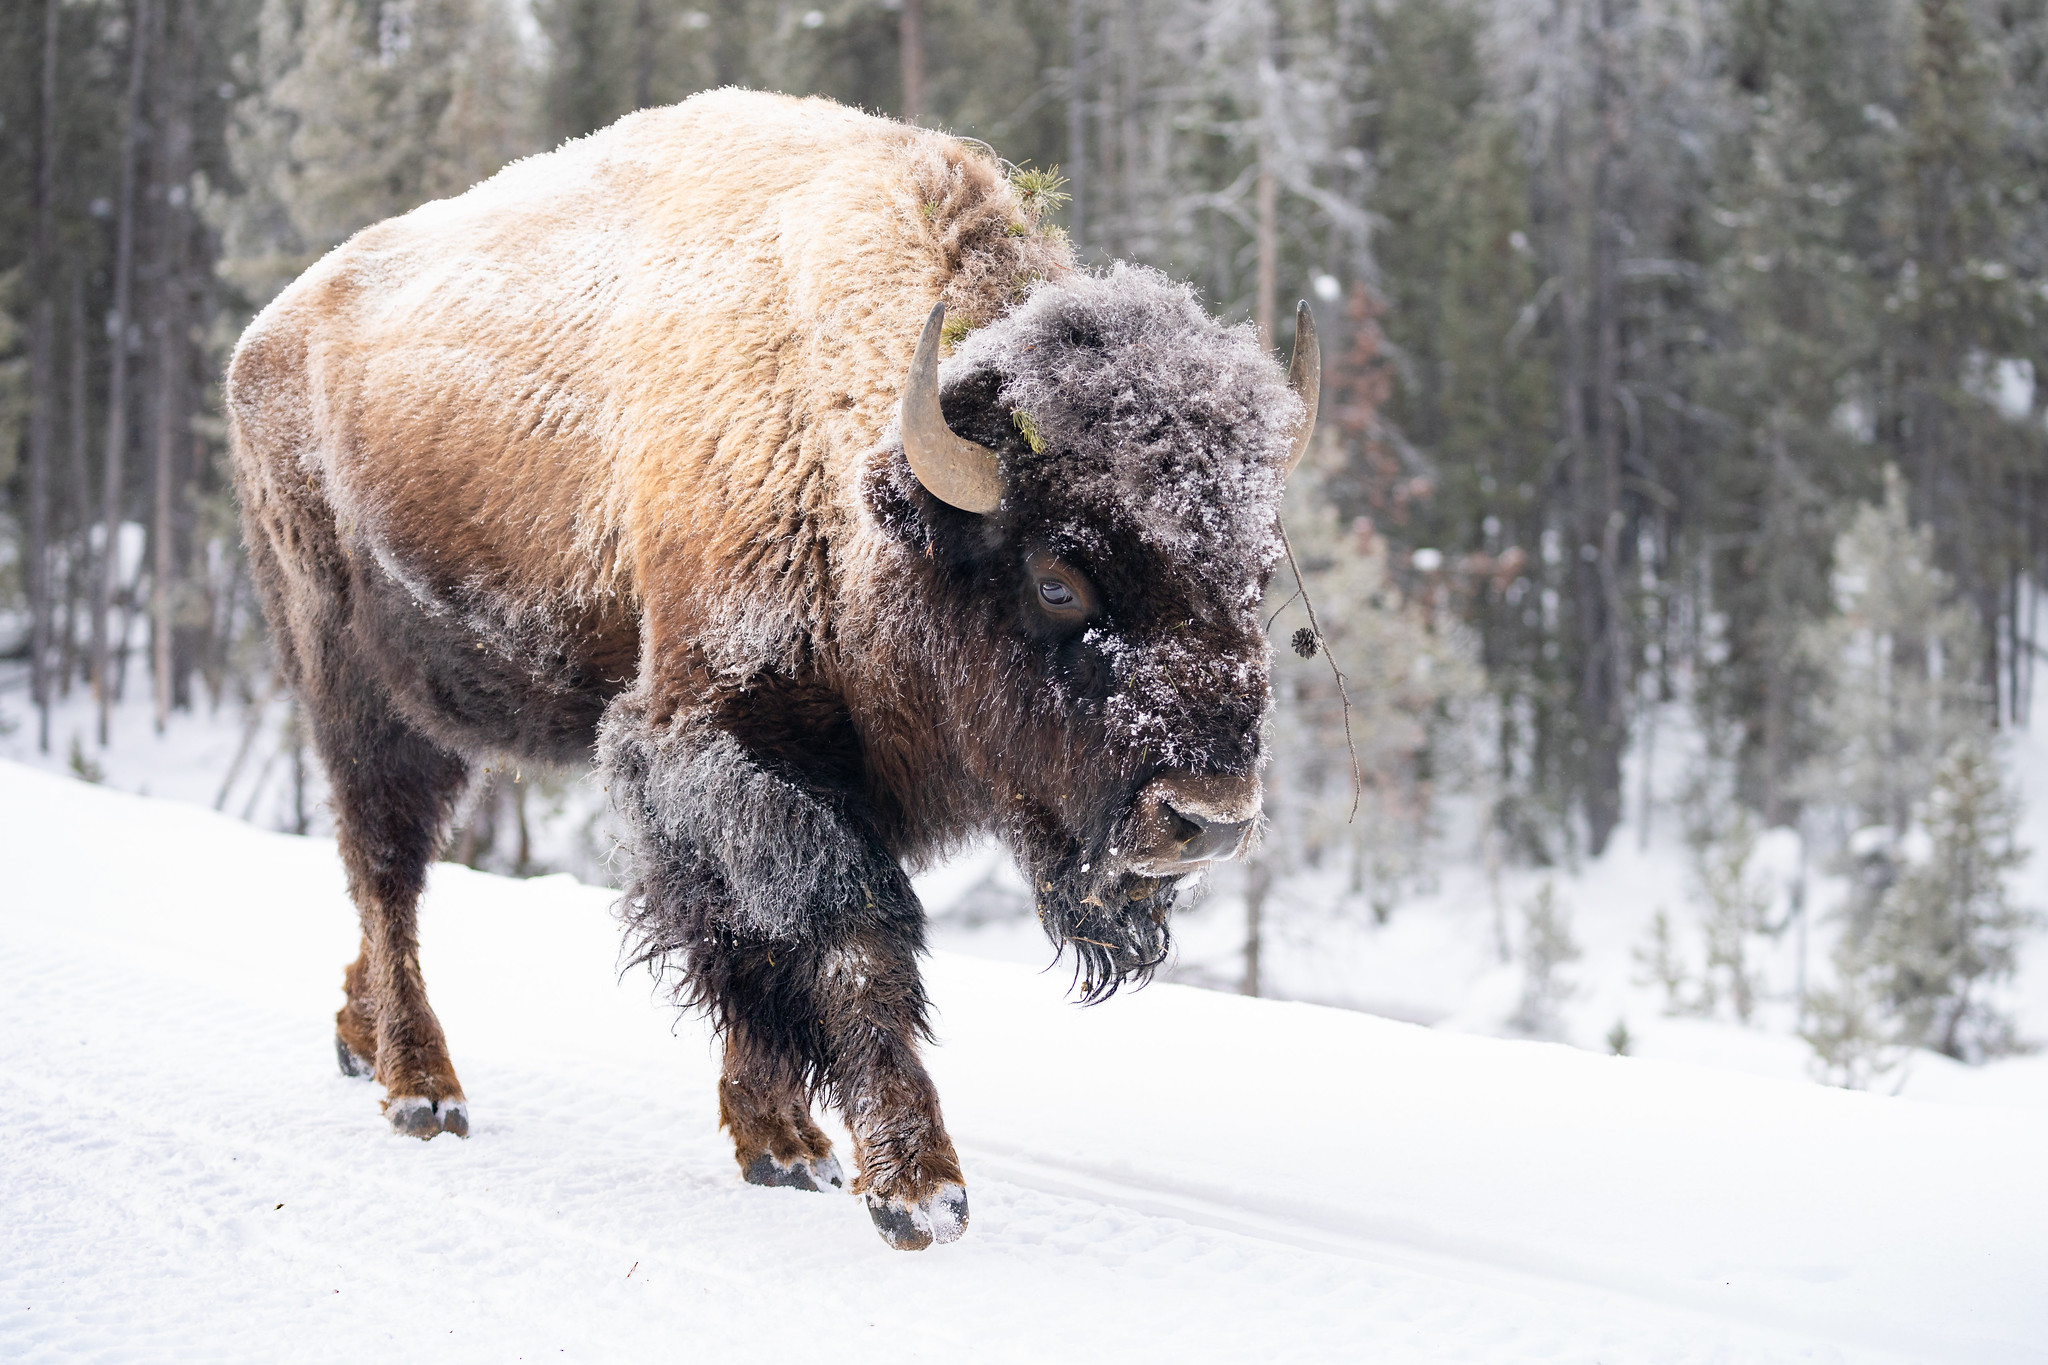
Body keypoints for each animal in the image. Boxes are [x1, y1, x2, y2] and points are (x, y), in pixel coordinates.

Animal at [224, 90, 1310, 1252]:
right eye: (1060, 580)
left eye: (1254, 572)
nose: (1207, 817)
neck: (852, 452)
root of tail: (264, 335)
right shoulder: (723, 746)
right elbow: (842, 936)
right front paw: (917, 1189)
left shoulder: (833, 768)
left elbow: (762, 943)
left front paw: (784, 1146)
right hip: (356, 691)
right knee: (385, 867)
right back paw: (422, 1089)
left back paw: (360, 1036)